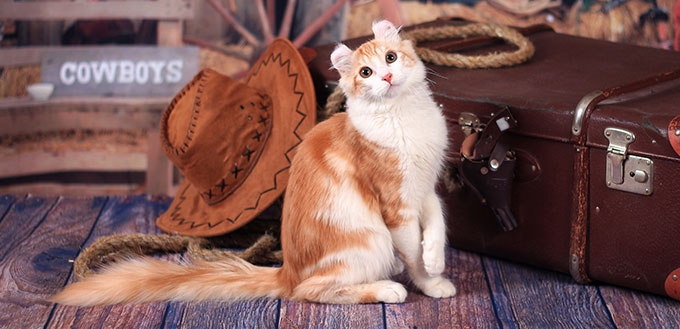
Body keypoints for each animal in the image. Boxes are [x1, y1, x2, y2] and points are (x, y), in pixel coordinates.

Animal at [51, 19, 456, 304]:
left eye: (390, 58)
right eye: (365, 73)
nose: (386, 76)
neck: (404, 117)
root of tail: (285, 271)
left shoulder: (425, 188)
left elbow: (437, 224)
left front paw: (436, 262)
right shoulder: (396, 204)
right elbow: (412, 250)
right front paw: (429, 281)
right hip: (368, 241)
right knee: (312, 291)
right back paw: (386, 289)